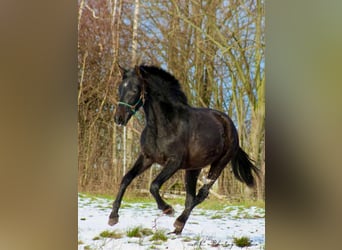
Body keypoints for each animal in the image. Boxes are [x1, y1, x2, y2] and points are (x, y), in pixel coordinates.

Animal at [108, 65, 258, 234]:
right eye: (120, 88)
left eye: (134, 90)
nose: (118, 119)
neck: (164, 126)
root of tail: (230, 125)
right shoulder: (147, 157)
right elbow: (126, 179)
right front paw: (113, 217)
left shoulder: (174, 162)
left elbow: (154, 185)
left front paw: (168, 209)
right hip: (193, 169)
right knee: (191, 197)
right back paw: (177, 230)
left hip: (219, 165)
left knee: (201, 195)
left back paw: (178, 222)